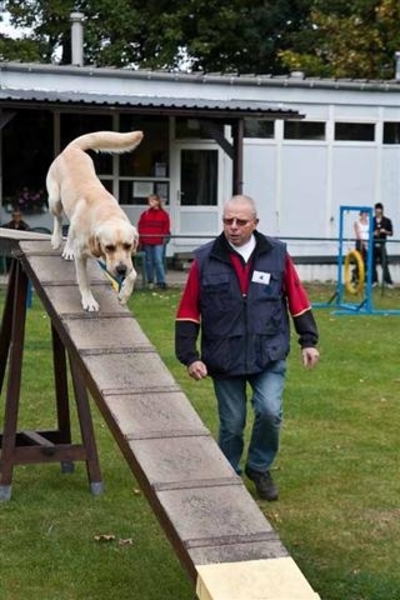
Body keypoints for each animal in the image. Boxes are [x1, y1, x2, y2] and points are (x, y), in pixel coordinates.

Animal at [46, 129, 143, 312]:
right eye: (109, 247)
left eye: (128, 246)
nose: (121, 270)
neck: (108, 213)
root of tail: (72, 148)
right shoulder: (82, 255)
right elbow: (83, 280)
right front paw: (89, 301)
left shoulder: (114, 259)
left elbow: (133, 274)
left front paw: (123, 296)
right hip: (55, 199)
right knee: (58, 219)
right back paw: (56, 239)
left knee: (70, 231)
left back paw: (67, 250)